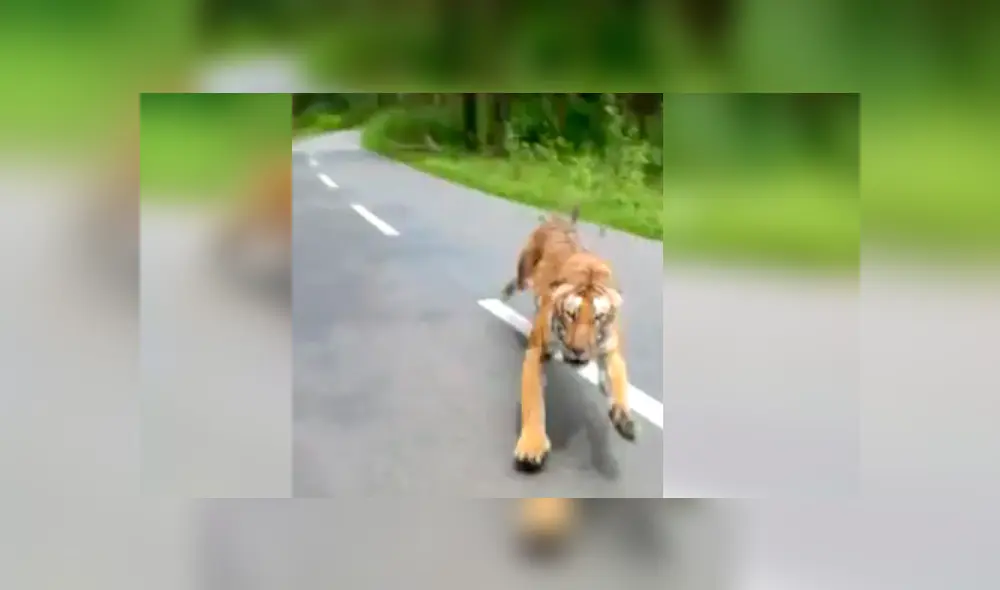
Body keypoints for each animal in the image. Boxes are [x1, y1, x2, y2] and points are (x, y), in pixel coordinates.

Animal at [500, 204, 637, 473]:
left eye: (598, 317)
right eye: (570, 314)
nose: (577, 350)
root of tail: (559, 219)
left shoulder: (611, 350)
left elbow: (618, 382)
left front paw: (623, 418)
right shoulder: (538, 350)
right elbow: (533, 402)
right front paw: (531, 448)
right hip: (525, 270)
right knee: (519, 281)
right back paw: (505, 293)